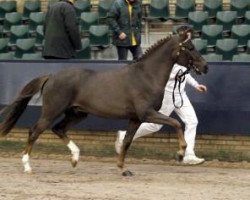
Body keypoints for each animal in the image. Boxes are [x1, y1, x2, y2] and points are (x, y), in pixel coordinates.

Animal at [0, 28, 207, 175]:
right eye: (190, 48)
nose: (205, 66)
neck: (146, 76)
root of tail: (51, 76)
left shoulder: (136, 118)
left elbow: (127, 141)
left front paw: (123, 169)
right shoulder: (147, 113)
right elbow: (175, 123)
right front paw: (181, 153)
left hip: (77, 114)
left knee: (58, 129)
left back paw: (75, 158)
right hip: (52, 111)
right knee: (34, 131)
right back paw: (28, 167)